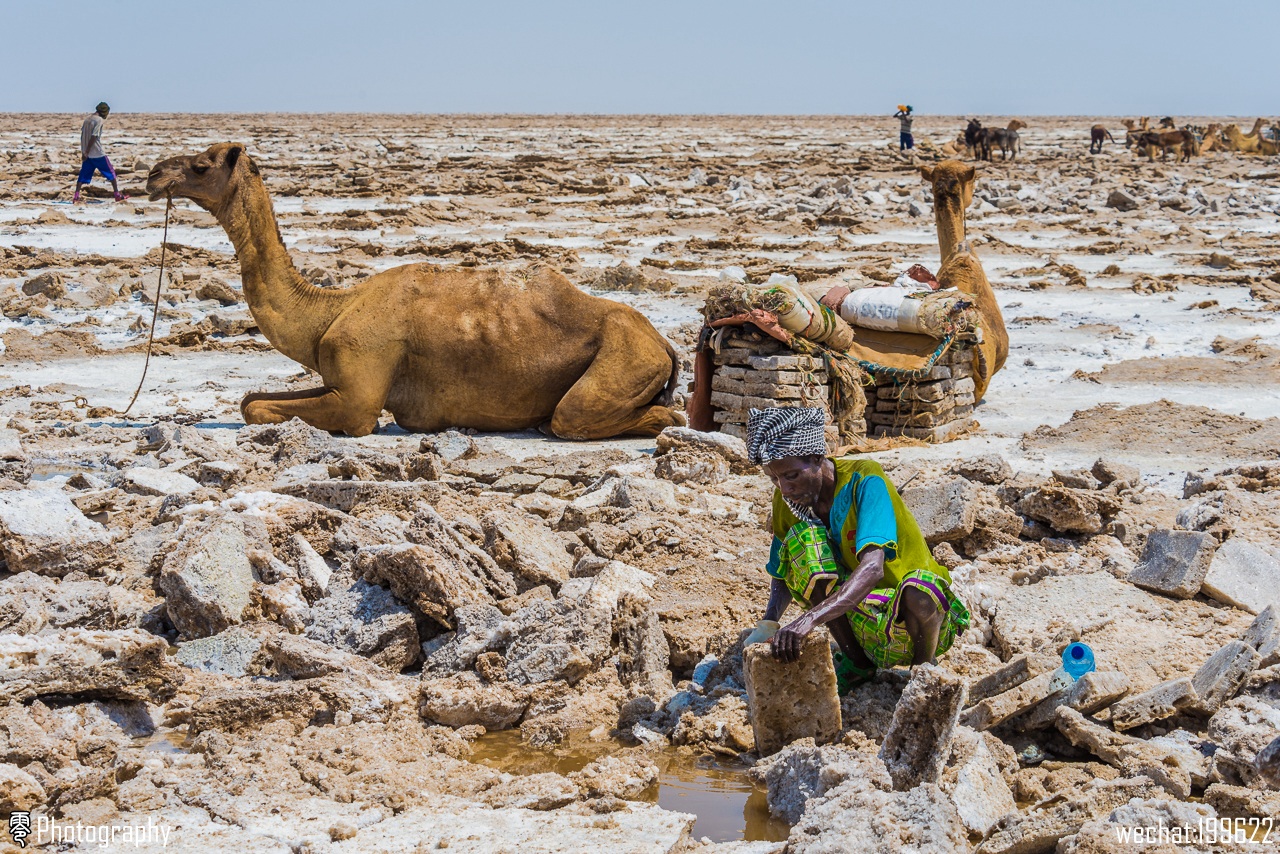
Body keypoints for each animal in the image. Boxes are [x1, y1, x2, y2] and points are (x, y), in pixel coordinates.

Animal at [145, 144, 686, 440]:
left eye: (201, 165)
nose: (152, 174)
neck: (329, 309)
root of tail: (663, 342)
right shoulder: (339, 376)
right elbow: (249, 400)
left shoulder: (359, 398)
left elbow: (260, 408)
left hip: (622, 362)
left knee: (608, 415)